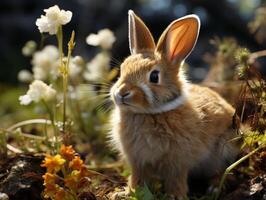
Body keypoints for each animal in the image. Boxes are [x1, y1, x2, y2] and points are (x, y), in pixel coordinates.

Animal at [108, 10, 239, 199]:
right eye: (122, 69)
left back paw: (214, 187)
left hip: (224, 148)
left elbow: (176, 178)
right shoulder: (137, 160)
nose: (122, 93)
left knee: (221, 169)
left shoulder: (178, 160)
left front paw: (175, 196)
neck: (151, 113)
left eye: (154, 76)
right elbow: (137, 177)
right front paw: (127, 192)